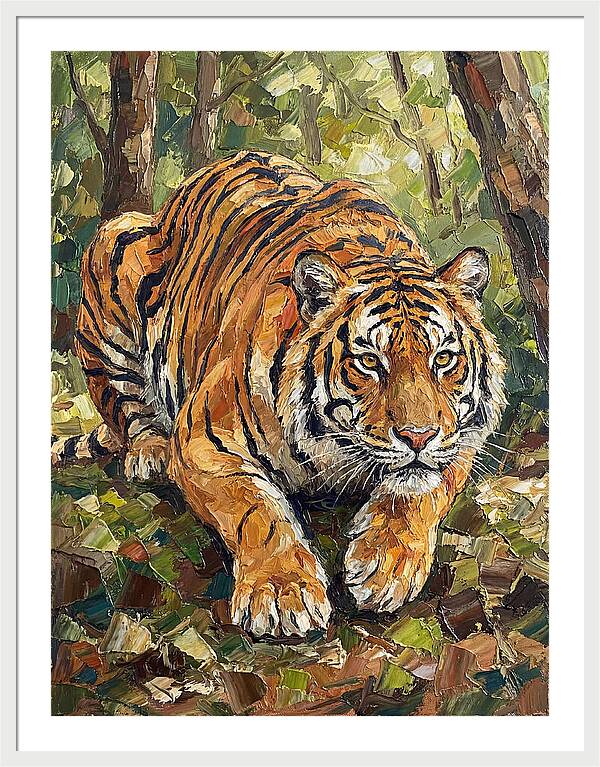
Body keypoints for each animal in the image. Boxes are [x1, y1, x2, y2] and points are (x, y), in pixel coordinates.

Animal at [52, 150, 506, 638]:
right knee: (126, 407)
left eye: (443, 359)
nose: (418, 437)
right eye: (369, 362)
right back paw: (149, 451)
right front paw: (281, 589)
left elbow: (419, 492)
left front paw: (385, 566)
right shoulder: (205, 440)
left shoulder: (460, 438)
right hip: (114, 251)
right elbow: (256, 508)